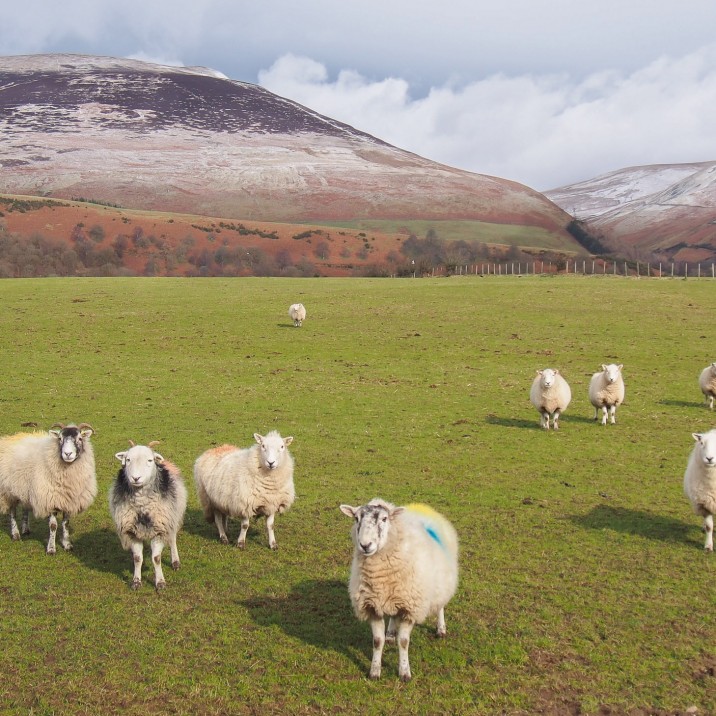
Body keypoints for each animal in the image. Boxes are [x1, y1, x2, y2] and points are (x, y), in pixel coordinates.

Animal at [0, 423, 96, 554]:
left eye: (80, 438)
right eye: (60, 438)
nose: (67, 454)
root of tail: (11, 437)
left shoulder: (68, 500)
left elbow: (66, 524)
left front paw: (67, 544)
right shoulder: (50, 499)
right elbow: (53, 526)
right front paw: (51, 549)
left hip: (25, 489)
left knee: (25, 508)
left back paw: (25, 529)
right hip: (8, 491)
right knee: (12, 512)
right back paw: (15, 534)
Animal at [109, 441, 187, 591]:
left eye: (150, 460)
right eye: (128, 460)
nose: (135, 478)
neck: (142, 505)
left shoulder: (160, 529)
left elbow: (156, 558)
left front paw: (160, 582)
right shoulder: (132, 532)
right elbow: (137, 558)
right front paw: (136, 581)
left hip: (172, 517)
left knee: (172, 539)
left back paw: (175, 561)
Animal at [339, 499, 459, 682]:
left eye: (384, 519)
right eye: (356, 518)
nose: (365, 545)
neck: (381, 579)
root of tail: (421, 506)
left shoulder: (410, 607)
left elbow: (403, 642)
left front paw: (404, 672)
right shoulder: (372, 606)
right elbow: (377, 641)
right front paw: (374, 671)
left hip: (440, 583)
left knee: (439, 606)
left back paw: (441, 629)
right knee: (393, 617)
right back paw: (390, 633)